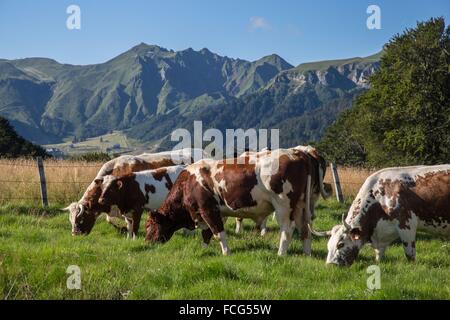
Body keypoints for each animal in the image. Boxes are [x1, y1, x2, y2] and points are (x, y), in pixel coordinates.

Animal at [64, 148, 205, 235]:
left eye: (80, 218)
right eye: (70, 220)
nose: (75, 234)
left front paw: (123, 230)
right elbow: (111, 220)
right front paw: (123, 230)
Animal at [144, 149, 316, 256]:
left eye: (149, 225)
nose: (147, 242)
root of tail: (296, 153)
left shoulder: (208, 209)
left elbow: (218, 233)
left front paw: (226, 252)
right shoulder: (208, 213)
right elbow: (207, 233)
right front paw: (204, 249)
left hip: (284, 205)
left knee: (287, 229)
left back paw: (281, 254)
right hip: (301, 205)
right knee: (304, 229)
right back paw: (307, 253)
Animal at [310, 164, 450, 266]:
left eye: (340, 244)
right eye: (328, 245)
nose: (330, 265)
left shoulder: (406, 224)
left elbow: (410, 254)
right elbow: (379, 254)